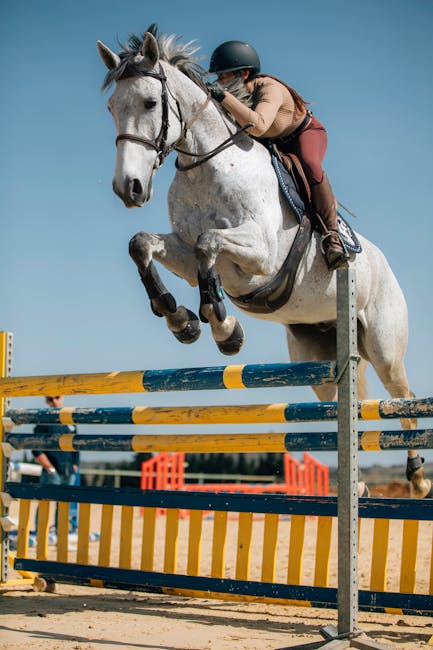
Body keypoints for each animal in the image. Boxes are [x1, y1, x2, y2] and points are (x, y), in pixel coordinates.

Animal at [96, 26, 430, 496]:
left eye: (148, 103)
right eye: (111, 108)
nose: (130, 188)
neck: (208, 166)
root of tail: (384, 264)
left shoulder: (261, 256)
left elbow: (208, 244)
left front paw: (224, 328)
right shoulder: (183, 251)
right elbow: (142, 244)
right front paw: (181, 319)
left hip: (384, 346)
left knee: (402, 398)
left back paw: (417, 479)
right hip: (317, 361)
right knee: (347, 405)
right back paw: (360, 487)